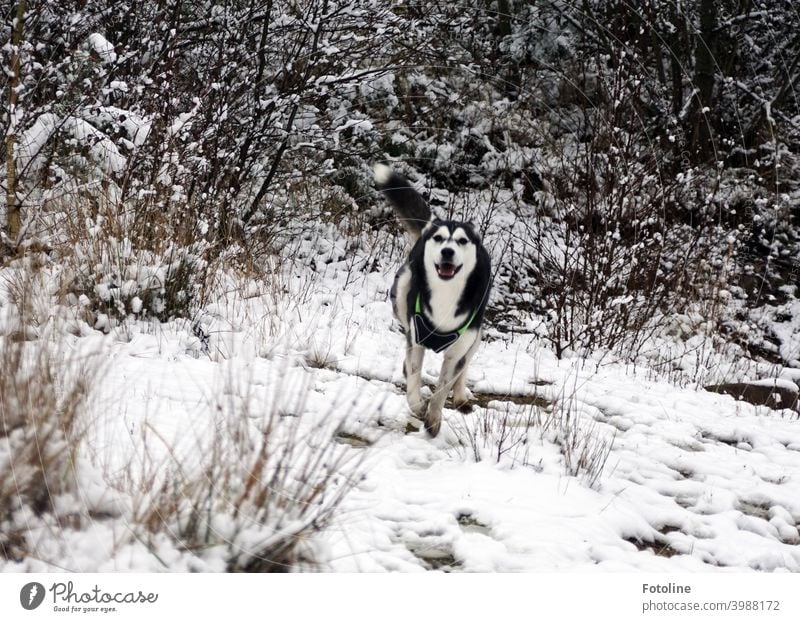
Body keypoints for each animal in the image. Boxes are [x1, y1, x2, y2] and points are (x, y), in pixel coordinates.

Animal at [376, 166, 494, 438]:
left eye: (462, 241)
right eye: (439, 239)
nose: (447, 252)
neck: (446, 292)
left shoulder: (459, 347)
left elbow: (443, 387)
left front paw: (433, 419)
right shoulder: (417, 336)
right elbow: (413, 377)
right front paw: (419, 406)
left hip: (476, 333)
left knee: (465, 363)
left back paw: (460, 397)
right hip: (403, 289)